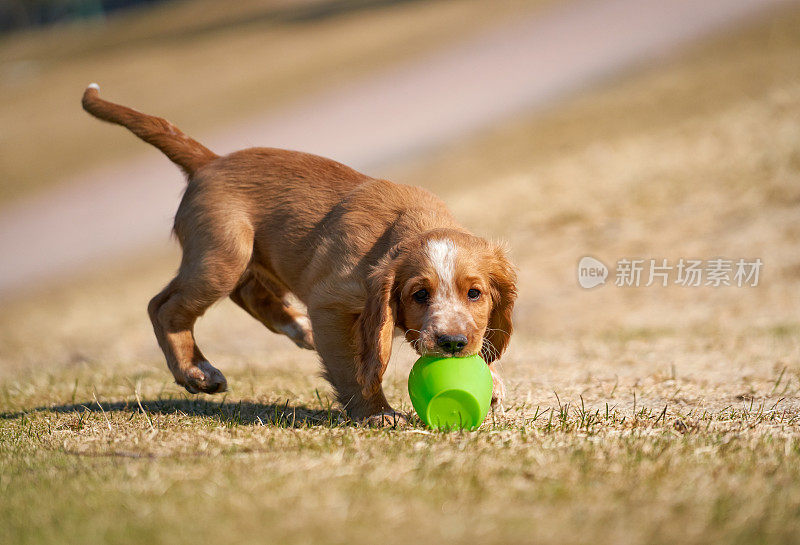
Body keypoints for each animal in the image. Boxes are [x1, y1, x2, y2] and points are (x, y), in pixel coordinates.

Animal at [83, 86, 520, 424]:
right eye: (419, 295)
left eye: (475, 294)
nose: (452, 343)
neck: (409, 224)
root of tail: (210, 161)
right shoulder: (332, 302)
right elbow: (351, 368)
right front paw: (376, 413)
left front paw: (493, 382)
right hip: (223, 256)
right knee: (163, 306)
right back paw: (196, 371)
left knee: (248, 294)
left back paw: (297, 328)